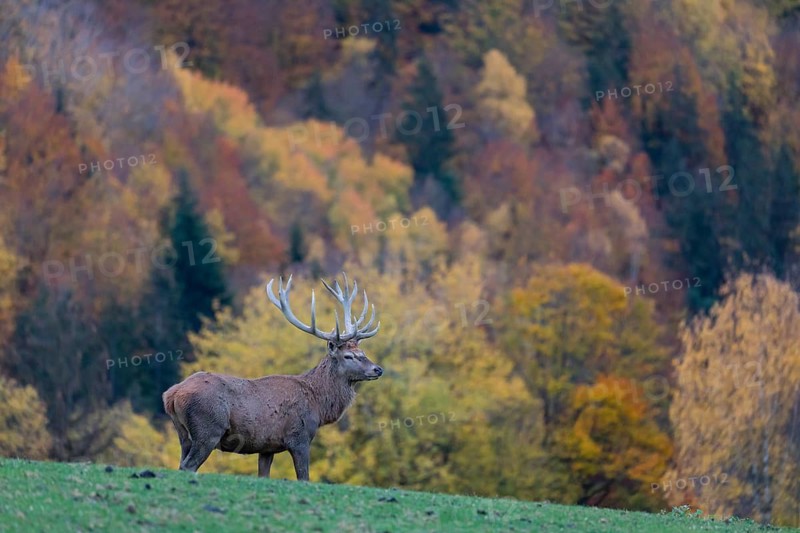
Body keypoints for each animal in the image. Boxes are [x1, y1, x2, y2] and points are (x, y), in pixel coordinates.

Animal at [162, 272, 382, 480]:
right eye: (349, 356)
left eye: (363, 352)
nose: (378, 369)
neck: (318, 404)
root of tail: (171, 395)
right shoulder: (299, 437)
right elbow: (304, 477)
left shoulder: (267, 447)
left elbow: (264, 474)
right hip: (208, 429)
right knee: (188, 465)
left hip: (183, 434)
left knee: (181, 463)